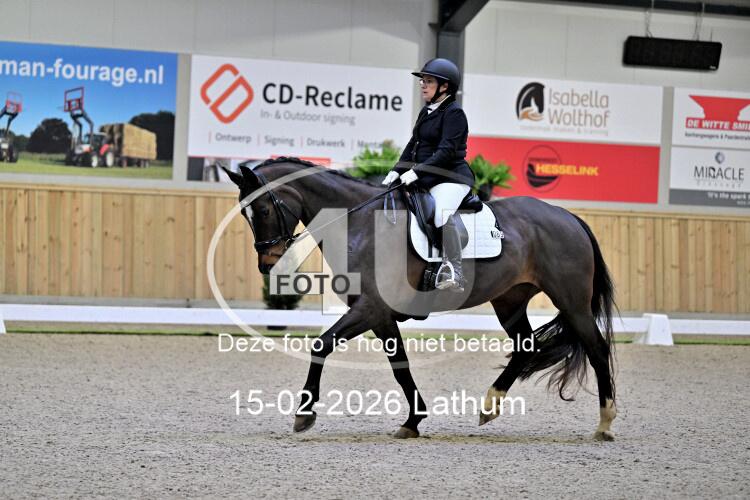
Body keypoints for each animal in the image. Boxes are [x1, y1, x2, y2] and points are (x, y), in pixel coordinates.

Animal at [224, 157, 618, 441]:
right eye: (245, 213)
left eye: (262, 210)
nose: (267, 263)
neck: (361, 224)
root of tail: (570, 217)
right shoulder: (380, 314)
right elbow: (400, 366)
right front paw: (412, 421)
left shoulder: (370, 308)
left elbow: (322, 345)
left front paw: (304, 416)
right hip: (509, 300)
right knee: (525, 346)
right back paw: (489, 406)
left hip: (572, 302)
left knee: (597, 349)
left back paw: (604, 424)